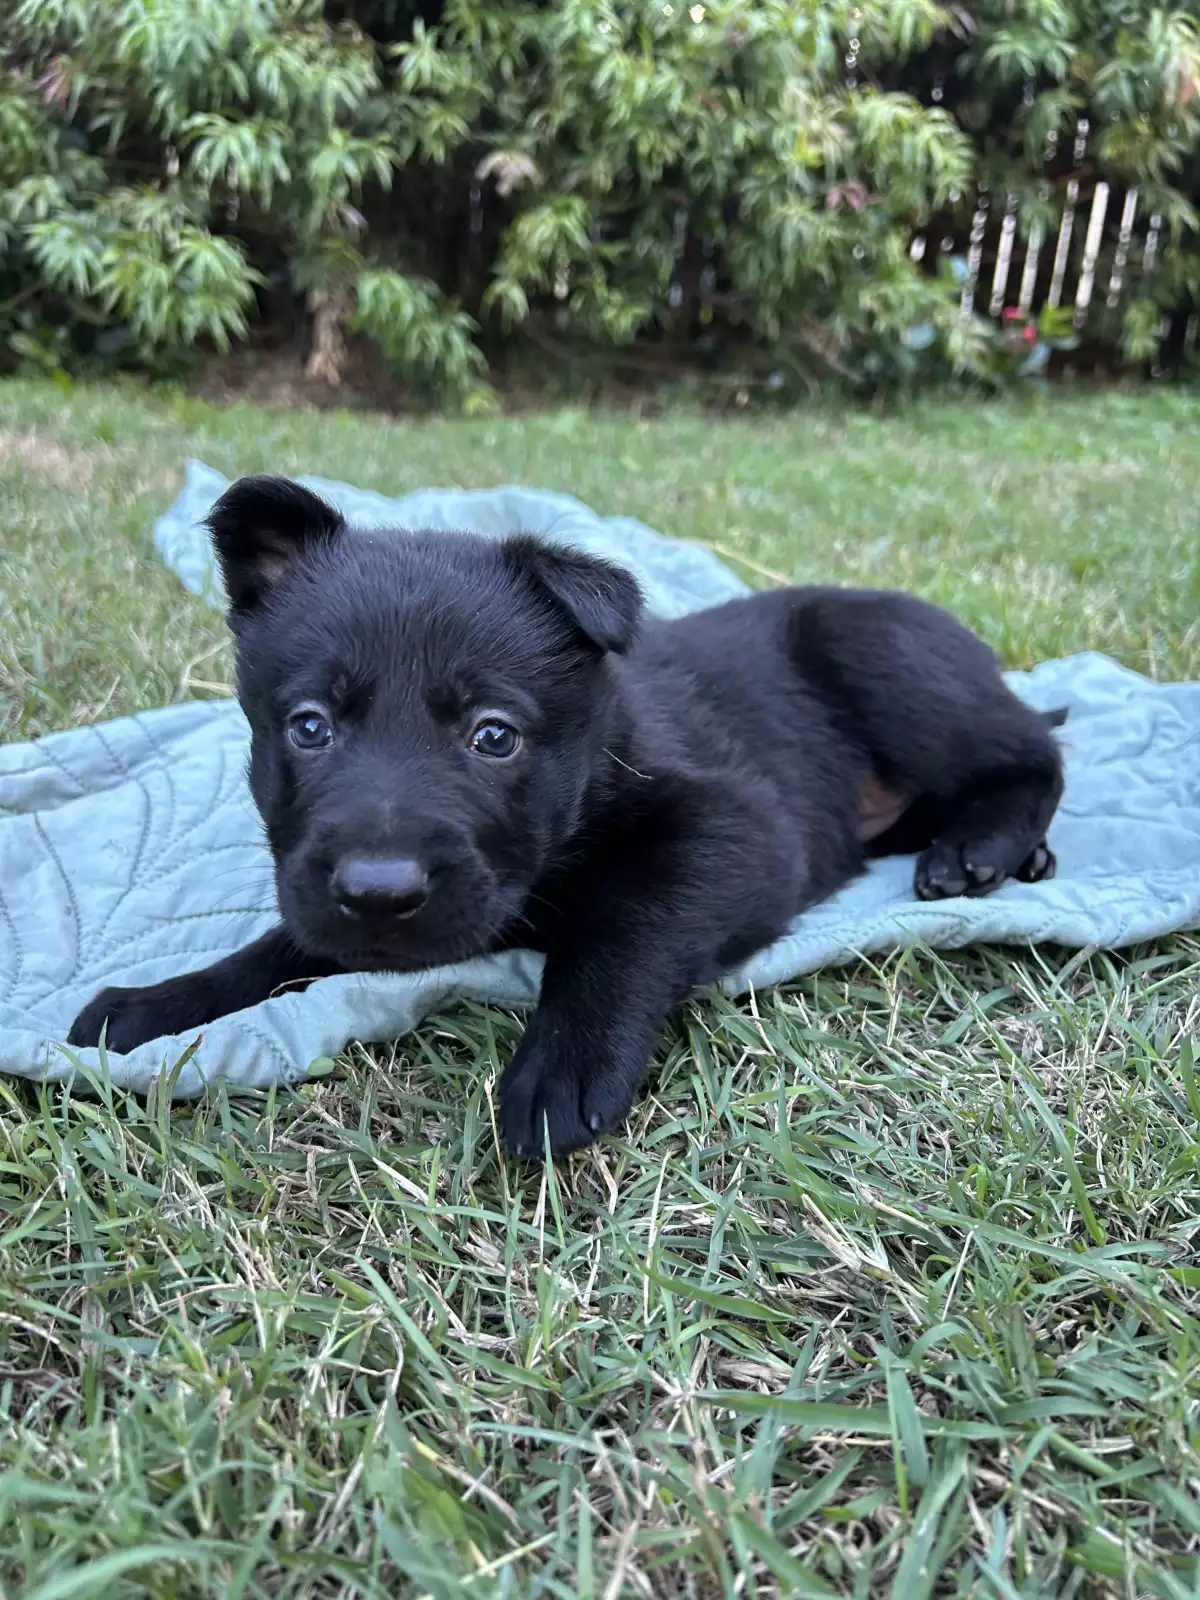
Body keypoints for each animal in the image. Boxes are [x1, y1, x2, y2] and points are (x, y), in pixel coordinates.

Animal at [69, 475, 1065, 1157]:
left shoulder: (740, 824)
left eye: (494, 736)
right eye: (310, 726)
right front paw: (159, 1002)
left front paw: (565, 1060)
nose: (381, 894)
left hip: (887, 661)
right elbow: (283, 945)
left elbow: (627, 920)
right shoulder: (320, 883)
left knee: (1035, 752)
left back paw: (981, 847)